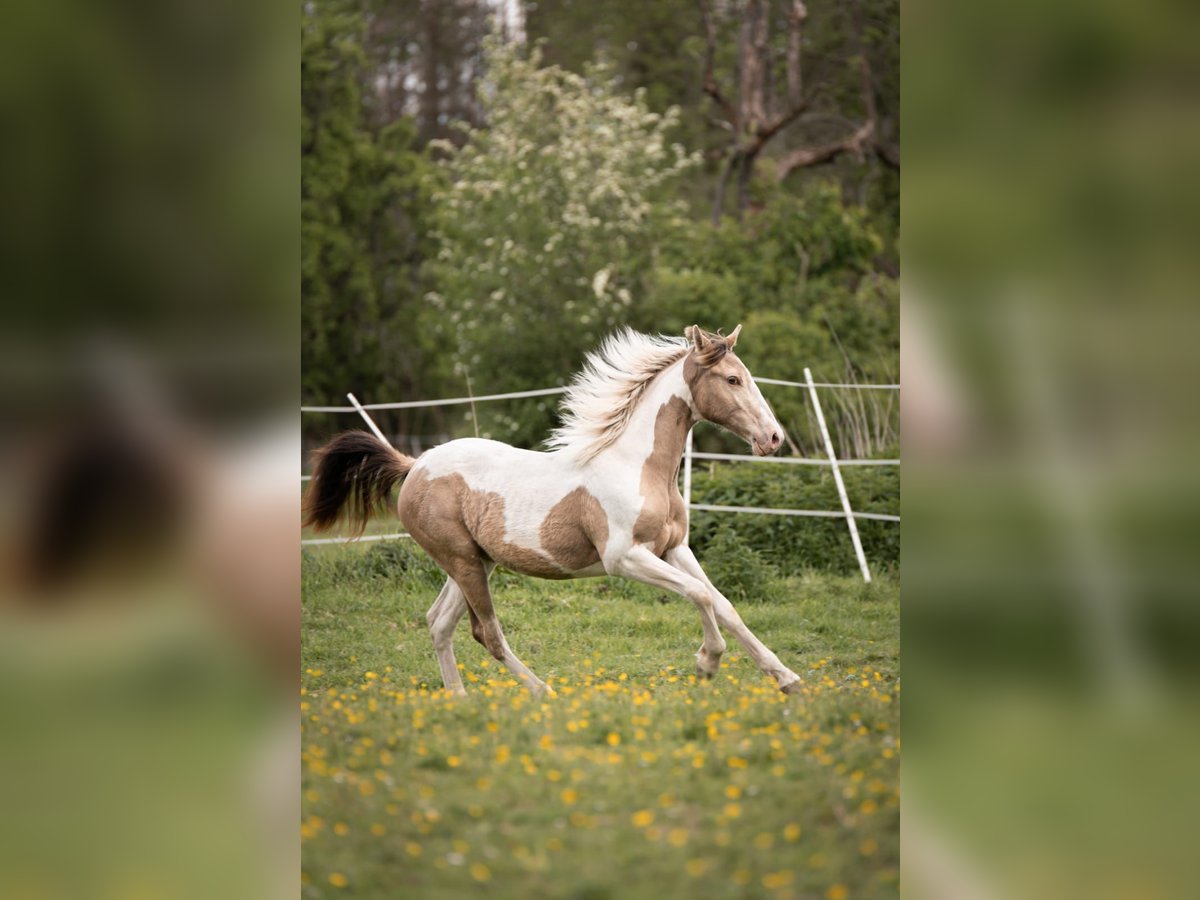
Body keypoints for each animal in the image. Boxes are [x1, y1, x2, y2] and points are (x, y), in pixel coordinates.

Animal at [304, 328, 801, 700]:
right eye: (733, 380)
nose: (774, 438)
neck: (637, 468)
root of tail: (415, 466)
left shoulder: (674, 548)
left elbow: (723, 603)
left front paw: (787, 679)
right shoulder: (625, 558)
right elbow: (700, 596)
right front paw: (707, 663)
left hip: (473, 561)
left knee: (438, 622)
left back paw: (459, 701)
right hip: (463, 562)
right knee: (487, 632)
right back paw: (542, 692)